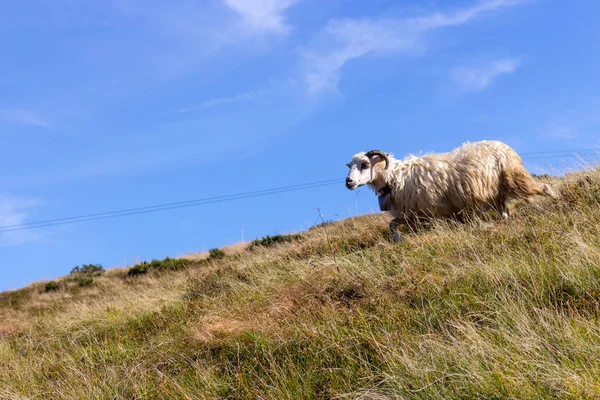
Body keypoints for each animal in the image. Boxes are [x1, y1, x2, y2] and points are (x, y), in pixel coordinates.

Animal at [344, 141, 556, 241]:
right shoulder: (411, 215)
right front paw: (397, 240)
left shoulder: (427, 212)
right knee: (505, 212)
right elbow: (391, 224)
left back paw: (555, 199)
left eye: (365, 164)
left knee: (544, 187)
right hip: (497, 195)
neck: (395, 177)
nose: (348, 182)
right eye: (350, 166)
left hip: (515, 178)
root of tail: (504, 145)